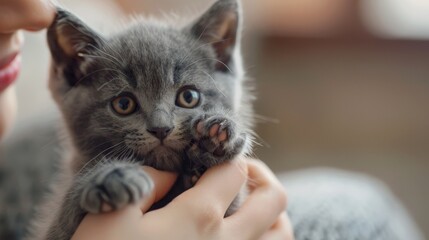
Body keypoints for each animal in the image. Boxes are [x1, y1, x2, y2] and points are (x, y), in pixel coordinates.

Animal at [34, 0, 254, 239]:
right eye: (123, 104)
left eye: (188, 97)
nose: (161, 128)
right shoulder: (54, 231)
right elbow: (64, 216)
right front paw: (110, 179)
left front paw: (214, 139)